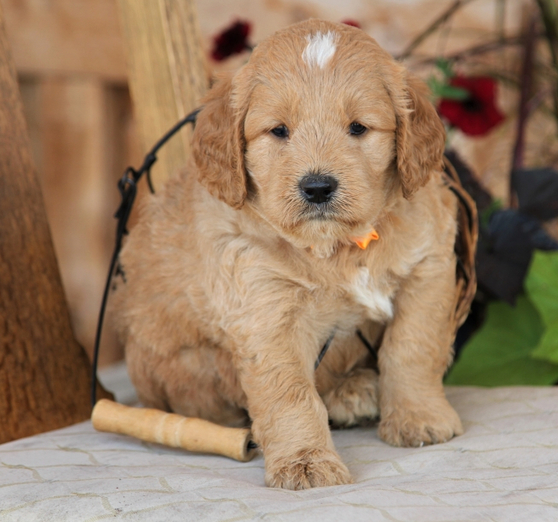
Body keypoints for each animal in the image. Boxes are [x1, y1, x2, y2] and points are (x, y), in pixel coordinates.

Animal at [112, 17, 464, 488]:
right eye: (279, 130)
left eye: (358, 128)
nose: (317, 187)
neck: (337, 248)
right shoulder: (264, 310)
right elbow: (290, 393)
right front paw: (305, 462)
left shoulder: (429, 265)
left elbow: (412, 347)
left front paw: (418, 417)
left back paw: (355, 390)